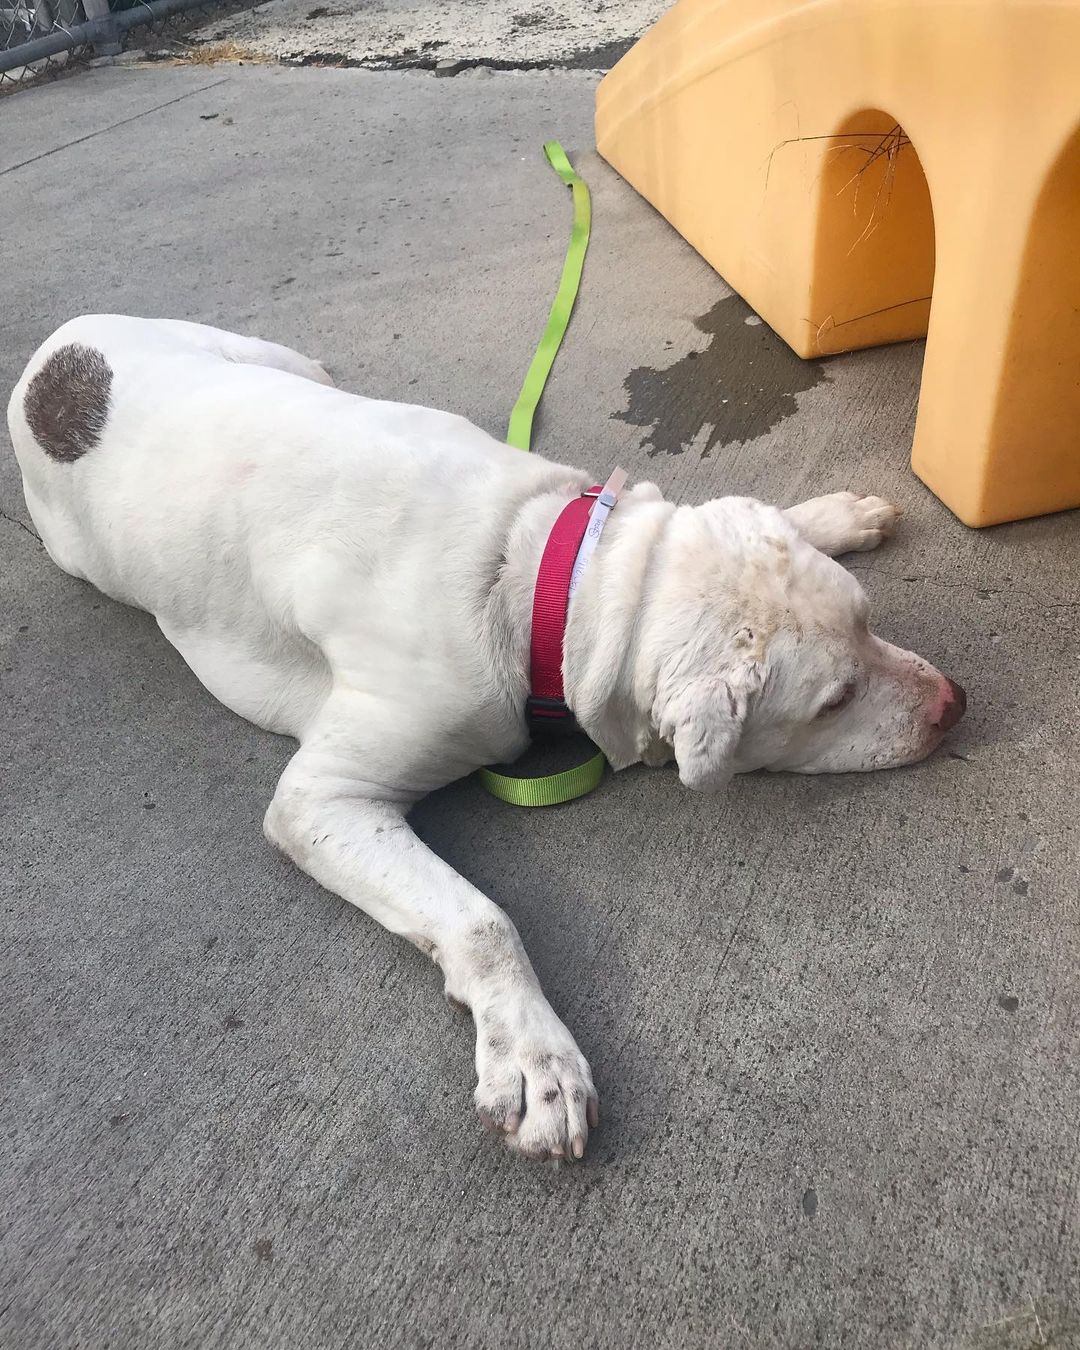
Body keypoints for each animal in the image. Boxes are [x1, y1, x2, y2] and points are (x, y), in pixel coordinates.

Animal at [12, 313, 966, 1161]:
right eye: (836, 700)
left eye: (870, 622)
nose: (954, 704)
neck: (543, 575)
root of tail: (53, 354)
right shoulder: (323, 801)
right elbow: (482, 921)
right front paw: (534, 1059)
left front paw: (829, 514)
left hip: (275, 358)